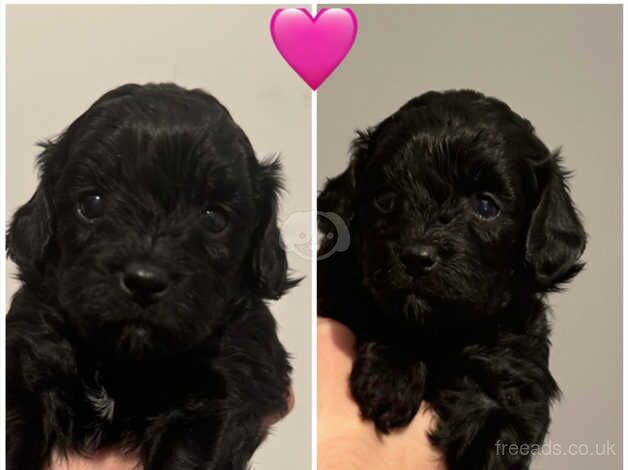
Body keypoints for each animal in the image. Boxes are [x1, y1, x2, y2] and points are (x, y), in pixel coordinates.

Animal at [6, 83, 296, 470]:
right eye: (92, 203)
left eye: (214, 219)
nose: (144, 281)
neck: (126, 361)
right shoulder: (26, 354)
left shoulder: (229, 383)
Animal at [322, 89, 588, 470]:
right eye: (386, 200)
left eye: (486, 206)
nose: (417, 257)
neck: (444, 333)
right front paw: (391, 379)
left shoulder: (519, 368)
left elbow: (504, 413)